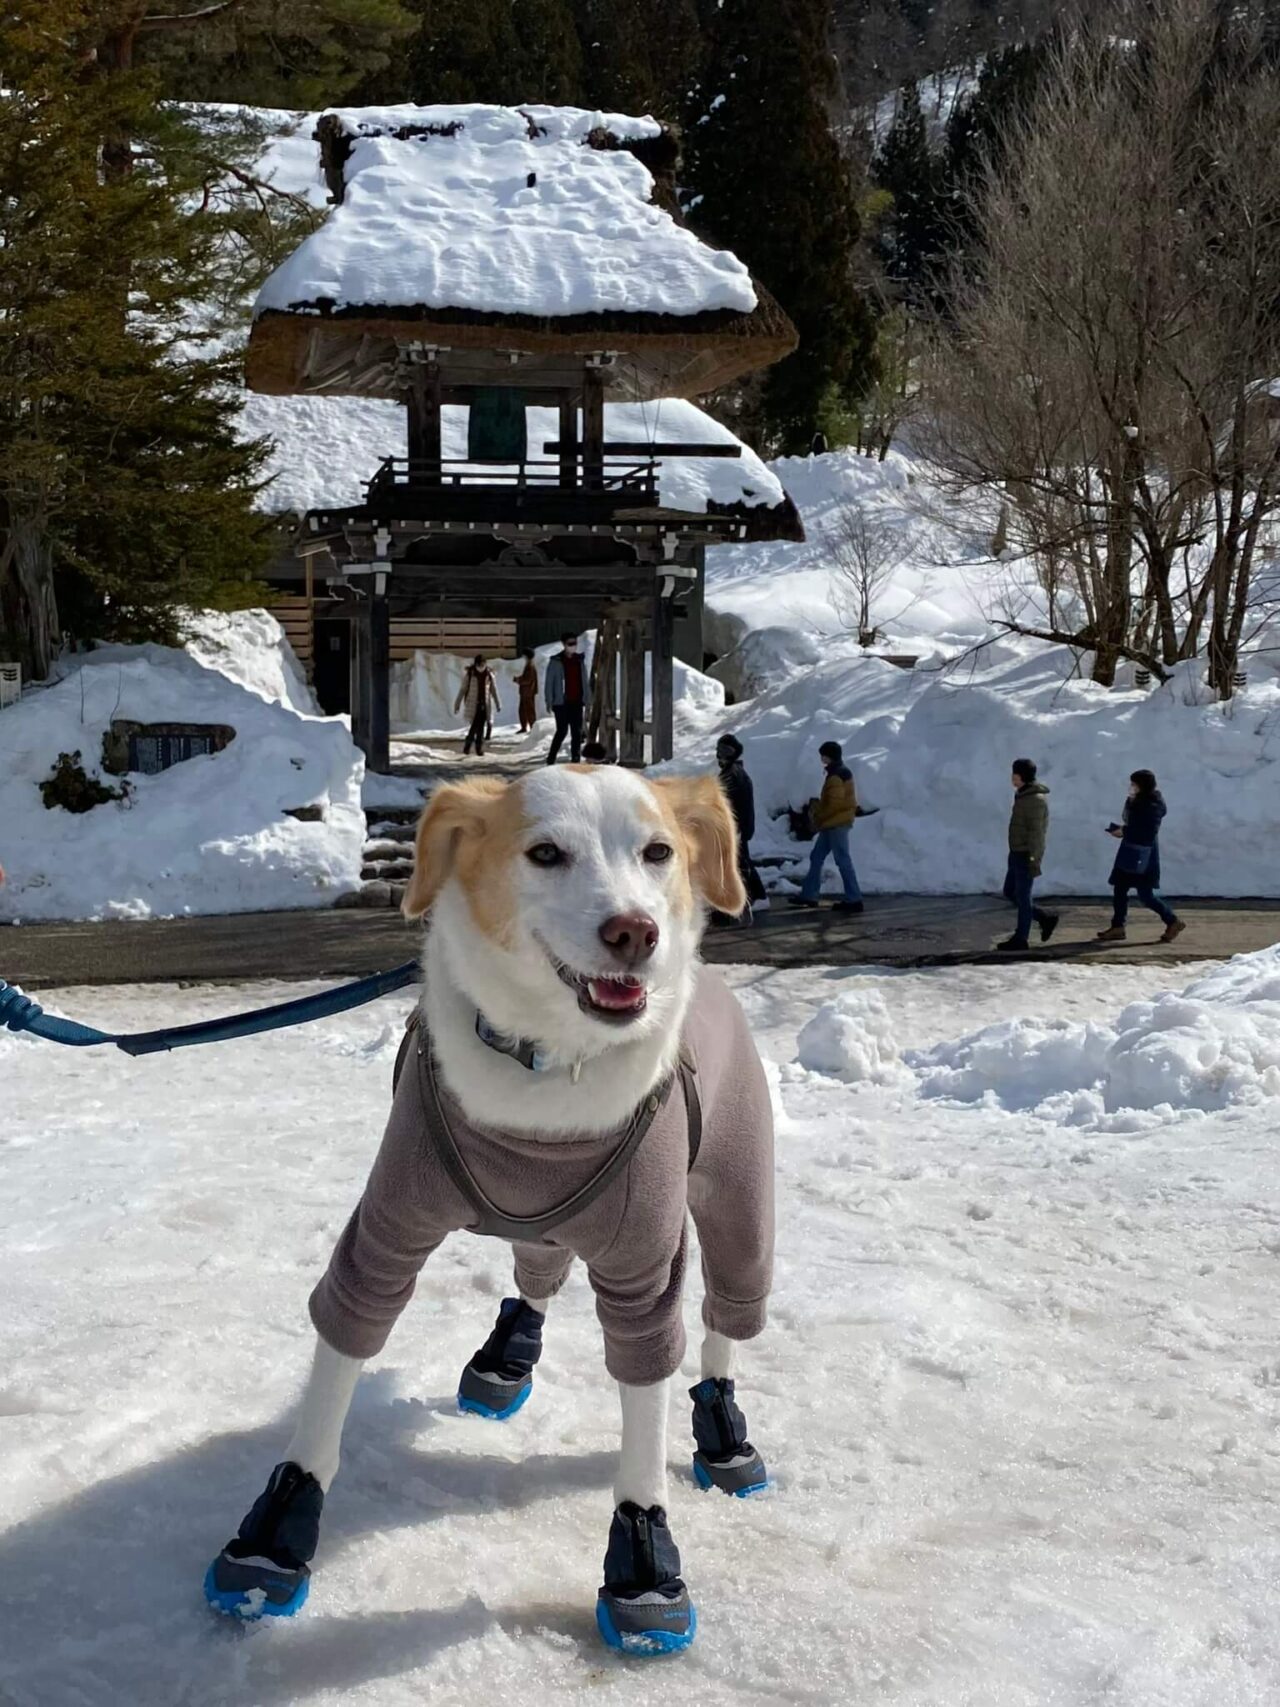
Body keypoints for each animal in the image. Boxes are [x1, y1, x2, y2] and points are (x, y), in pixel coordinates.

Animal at [205, 768, 778, 1659]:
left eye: (658, 851)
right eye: (545, 853)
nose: (635, 931)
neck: (543, 1079)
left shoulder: (645, 1268)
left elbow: (647, 1393)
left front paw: (644, 1565)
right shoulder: (387, 1229)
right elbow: (342, 1351)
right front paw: (275, 1537)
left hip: (738, 1198)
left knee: (725, 1316)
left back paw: (724, 1431)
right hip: (543, 1230)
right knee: (536, 1272)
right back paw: (505, 1359)